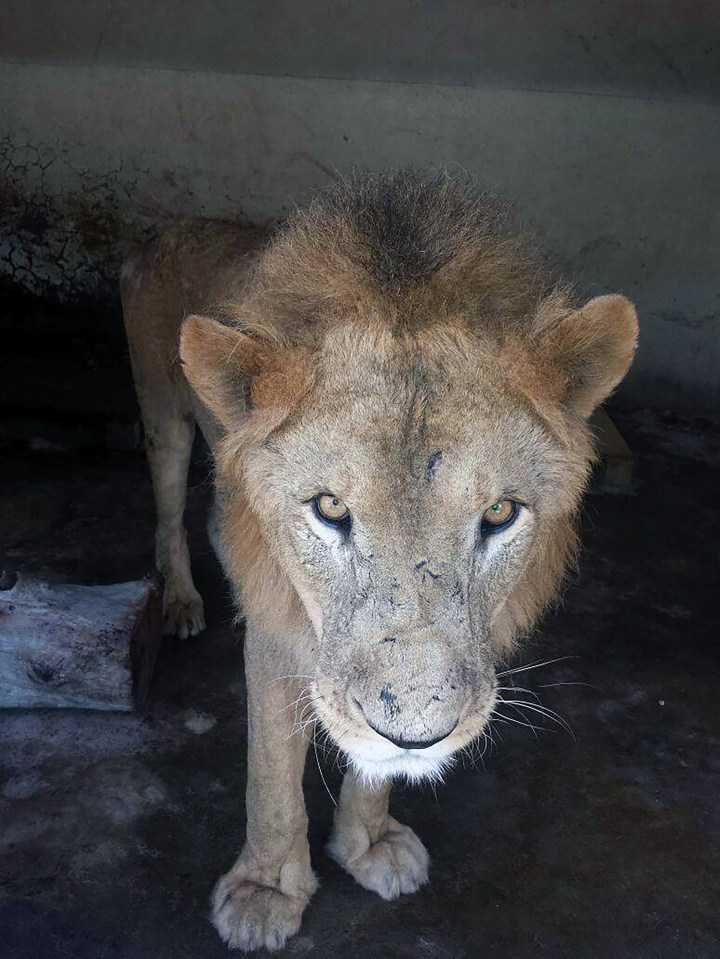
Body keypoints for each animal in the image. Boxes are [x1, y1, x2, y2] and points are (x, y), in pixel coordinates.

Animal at [121, 172, 640, 952]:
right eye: (330, 507)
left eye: (498, 513)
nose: (417, 732)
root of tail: (169, 227)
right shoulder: (279, 630)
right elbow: (272, 778)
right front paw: (265, 892)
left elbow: (375, 768)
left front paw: (367, 844)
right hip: (163, 415)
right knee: (167, 509)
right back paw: (180, 600)